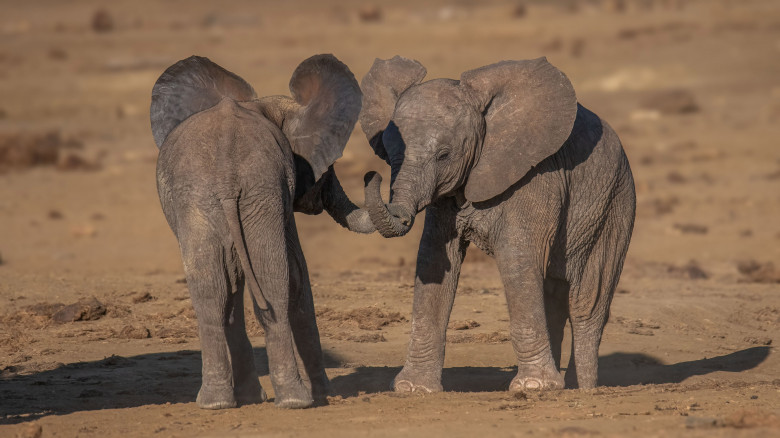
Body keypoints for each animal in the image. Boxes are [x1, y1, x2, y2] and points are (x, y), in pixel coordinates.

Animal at [152, 53, 374, 408]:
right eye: (327, 169)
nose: (371, 175)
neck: (263, 105)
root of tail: (226, 176)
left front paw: (250, 396)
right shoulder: (281, 187)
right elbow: (297, 274)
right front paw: (325, 394)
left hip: (208, 199)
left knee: (211, 288)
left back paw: (217, 402)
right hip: (256, 189)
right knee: (271, 279)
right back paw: (296, 400)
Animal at [358, 55, 632, 394]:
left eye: (444, 155)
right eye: (388, 153)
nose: (370, 176)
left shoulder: (534, 177)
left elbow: (516, 259)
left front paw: (532, 387)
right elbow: (433, 260)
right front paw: (413, 389)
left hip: (613, 204)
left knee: (587, 301)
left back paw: (584, 389)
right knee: (554, 295)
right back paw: (564, 385)